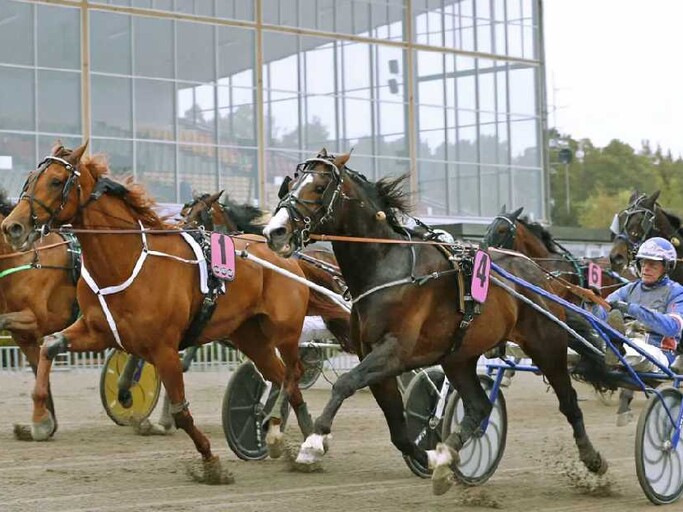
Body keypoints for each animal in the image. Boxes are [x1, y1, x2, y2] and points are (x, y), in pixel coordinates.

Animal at [264, 151, 612, 496]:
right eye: (290, 185)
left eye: (319, 187)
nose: (274, 232)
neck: (388, 267)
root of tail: (541, 276)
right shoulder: (373, 357)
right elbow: (398, 429)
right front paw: (431, 457)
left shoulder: (394, 352)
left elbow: (345, 383)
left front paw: (313, 443)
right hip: (458, 357)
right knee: (479, 407)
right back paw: (448, 458)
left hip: (546, 344)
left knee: (568, 402)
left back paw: (593, 459)